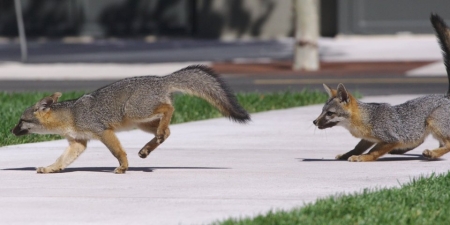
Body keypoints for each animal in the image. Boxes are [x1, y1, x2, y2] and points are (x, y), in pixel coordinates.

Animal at [11, 65, 250, 174]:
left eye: (21, 121)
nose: (11, 131)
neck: (71, 115)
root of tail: (162, 79)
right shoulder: (78, 143)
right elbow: (62, 160)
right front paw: (50, 168)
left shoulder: (103, 132)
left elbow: (118, 151)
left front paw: (123, 167)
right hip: (141, 123)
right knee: (167, 130)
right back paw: (147, 148)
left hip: (135, 112)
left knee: (169, 108)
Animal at [312, 13, 450, 162]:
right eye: (322, 111)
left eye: (330, 113)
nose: (314, 121)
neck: (367, 118)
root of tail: (445, 96)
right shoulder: (368, 139)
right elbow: (357, 147)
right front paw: (347, 155)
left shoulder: (392, 139)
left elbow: (374, 152)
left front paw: (363, 158)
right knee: (427, 141)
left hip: (432, 123)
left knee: (447, 144)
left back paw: (432, 153)